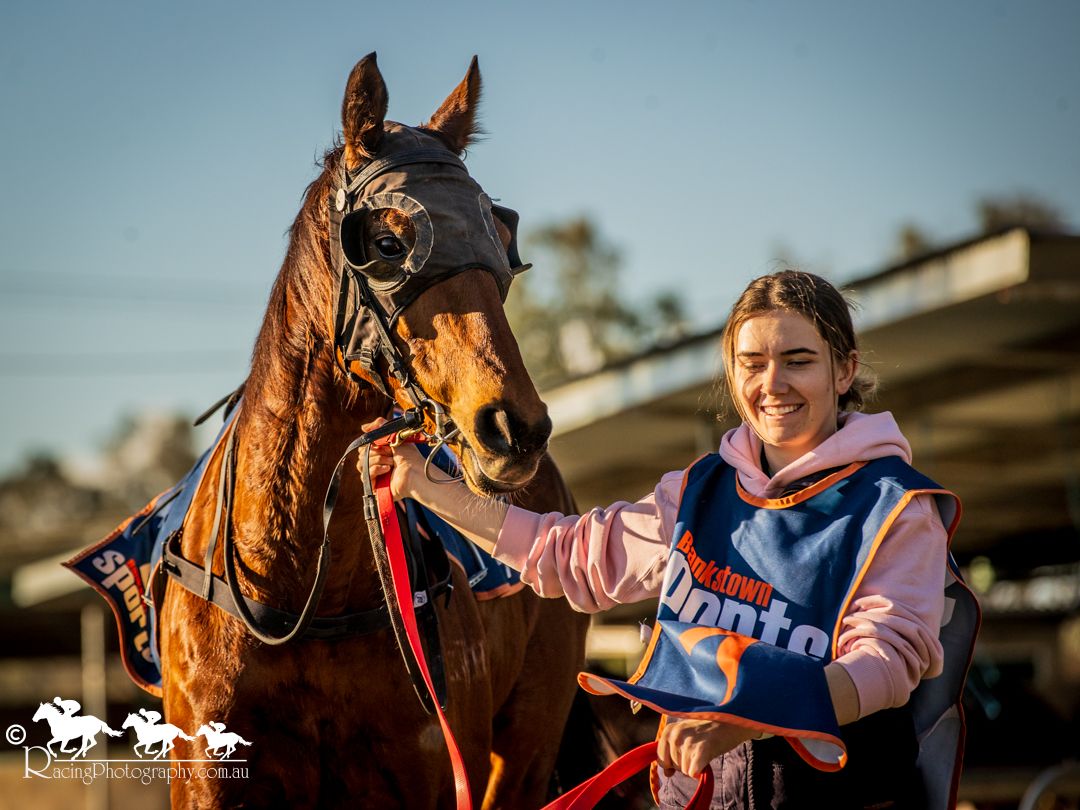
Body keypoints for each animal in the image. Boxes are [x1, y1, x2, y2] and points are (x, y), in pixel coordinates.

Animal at [158, 53, 592, 808]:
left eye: (502, 239)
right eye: (389, 243)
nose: (515, 428)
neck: (301, 599)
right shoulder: (209, 775)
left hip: (526, 750)